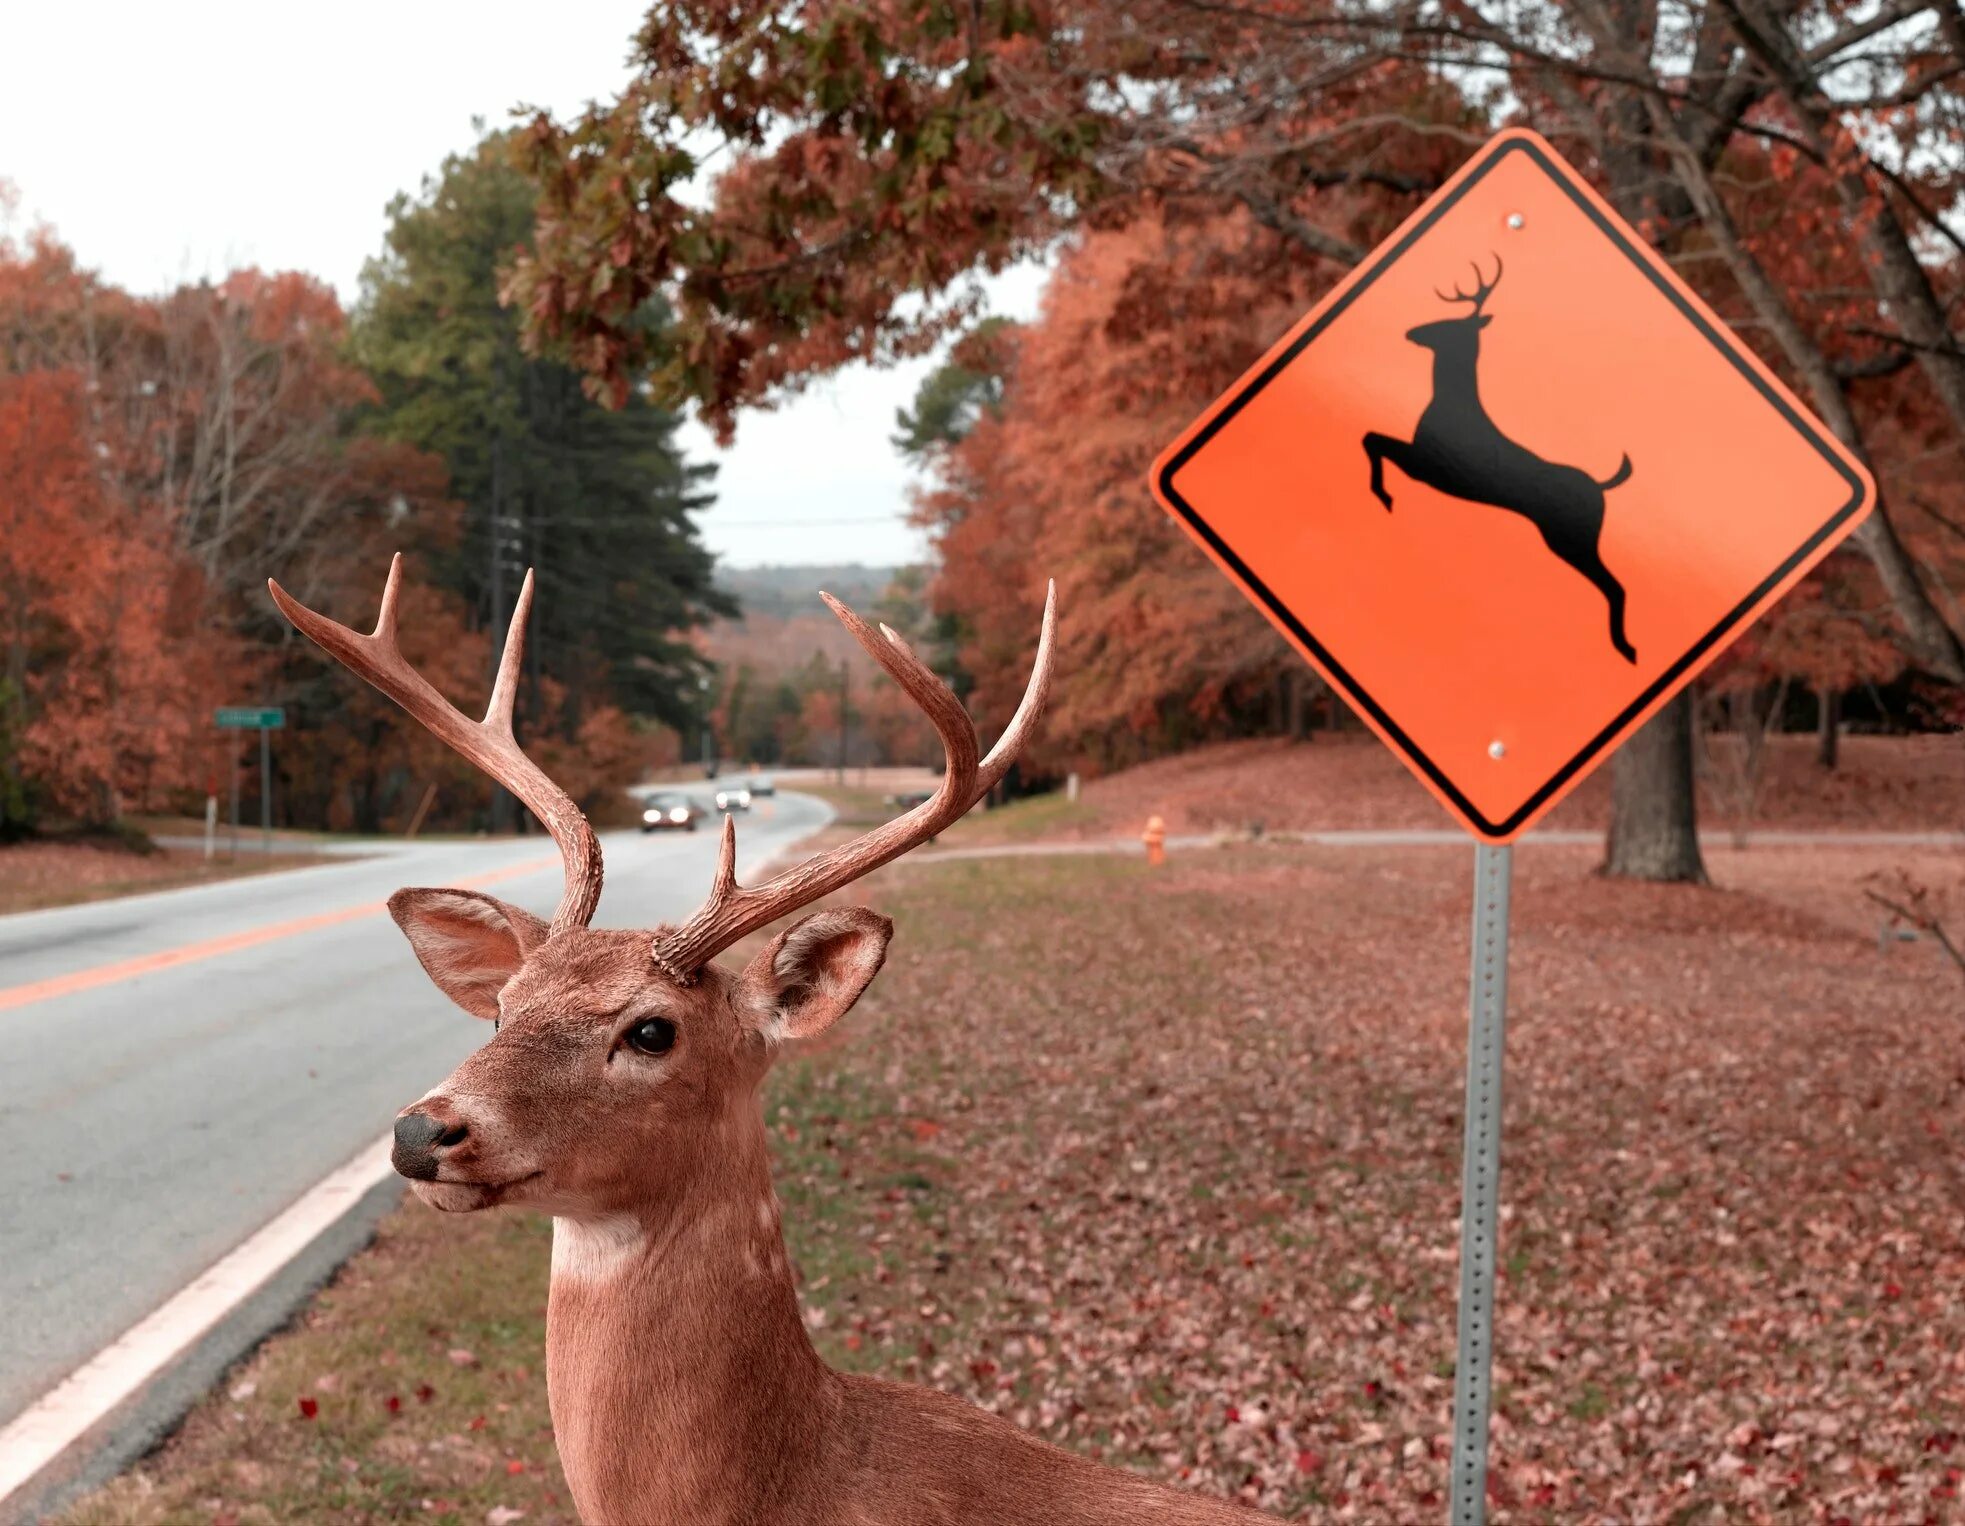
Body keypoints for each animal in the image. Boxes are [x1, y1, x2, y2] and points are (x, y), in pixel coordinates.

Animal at [1359, 253, 1634, 663]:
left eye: (1449, 324)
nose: (1412, 332)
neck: (1450, 403)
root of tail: (1601, 489)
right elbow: (1372, 438)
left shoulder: (1426, 466)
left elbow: (1372, 439)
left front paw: (1385, 496)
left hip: (1573, 537)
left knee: (1614, 586)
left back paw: (1626, 649)